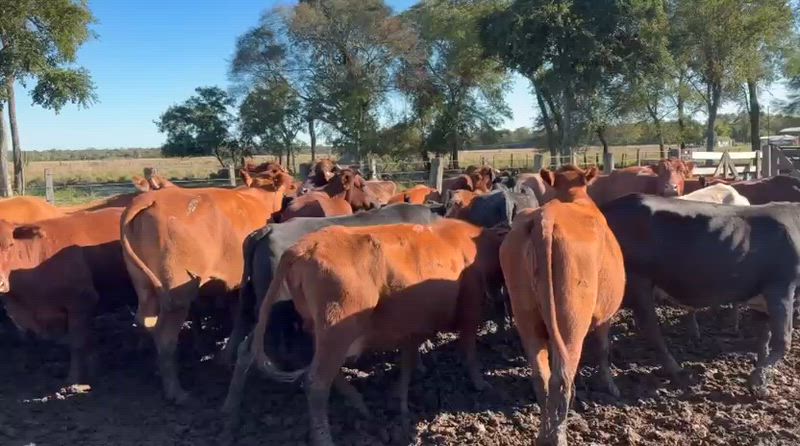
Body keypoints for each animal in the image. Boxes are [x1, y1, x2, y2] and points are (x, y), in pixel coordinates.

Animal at [120, 169, 286, 403]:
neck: (256, 197)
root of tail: (150, 198)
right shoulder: (240, 283)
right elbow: (239, 317)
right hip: (178, 295)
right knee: (165, 337)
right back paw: (177, 392)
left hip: (146, 288)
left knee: (146, 323)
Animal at [242, 219, 506, 445]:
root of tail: (303, 247)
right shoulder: (470, 306)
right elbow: (469, 350)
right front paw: (479, 382)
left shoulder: (413, 325)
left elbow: (408, 361)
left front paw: (403, 398)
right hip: (337, 330)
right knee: (316, 382)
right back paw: (324, 438)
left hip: (320, 330)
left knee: (330, 374)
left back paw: (360, 404)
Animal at [499, 166, 625, 446]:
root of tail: (545, 218)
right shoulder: (605, 316)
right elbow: (604, 349)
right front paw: (611, 386)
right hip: (571, 321)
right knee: (562, 377)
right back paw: (558, 436)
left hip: (526, 316)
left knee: (542, 376)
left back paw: (542, 436)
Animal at [601, 194, 800, 396]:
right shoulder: (781, 288)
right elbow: (783, 341)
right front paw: (757, 381)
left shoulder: (763, 301)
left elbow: (763, 341)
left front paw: (762, 379)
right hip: (637, 279)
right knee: (649, 328)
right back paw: (677, 372)